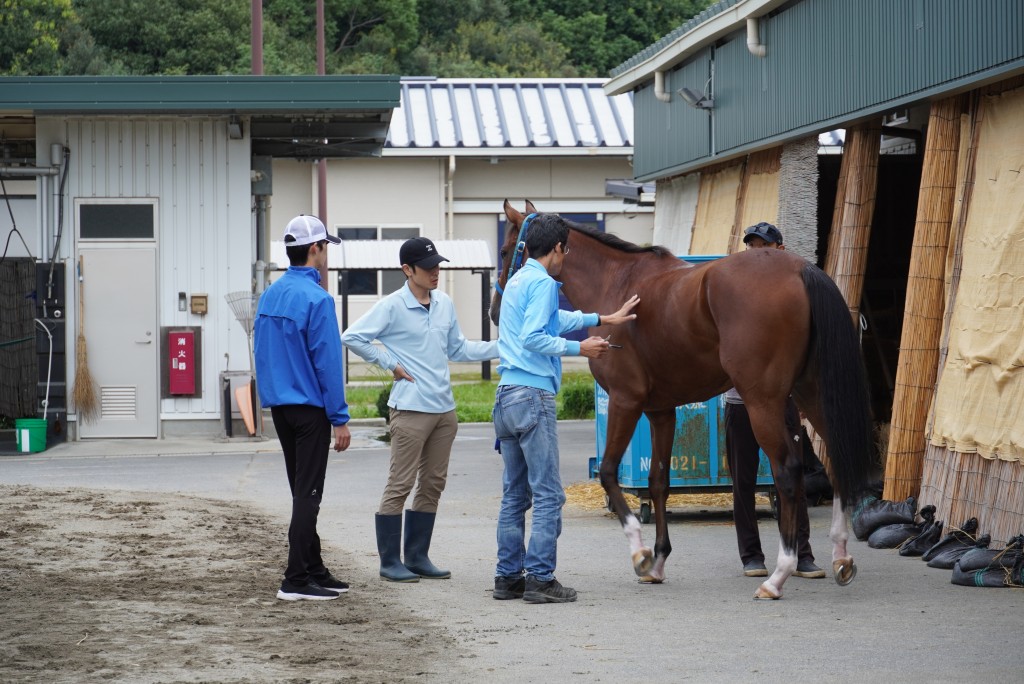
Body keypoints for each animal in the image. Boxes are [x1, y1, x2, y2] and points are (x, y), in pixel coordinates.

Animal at [491, 200, 868, 602]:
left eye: (505, 250)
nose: (494, 312)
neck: (616, 282)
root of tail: (799, 269)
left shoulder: (626, 401)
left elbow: (608, 472)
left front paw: (640, 553)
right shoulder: (661, 412)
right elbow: (658, 481)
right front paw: (658, 561)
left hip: (763, 402)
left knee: (788, 471)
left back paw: (778, 574)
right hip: (811, 393)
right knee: (837, 458)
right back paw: (840, 554)